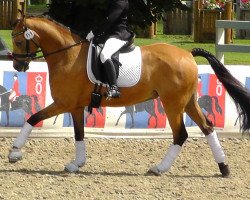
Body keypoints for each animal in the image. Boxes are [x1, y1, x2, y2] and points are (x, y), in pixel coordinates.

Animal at [7, 14, 250, 177]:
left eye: (18, 40)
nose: (18, 66)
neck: (68, 54)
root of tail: (188, 54)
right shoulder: (75, 107)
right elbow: (79, 135)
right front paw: (76, 164)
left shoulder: (63, 103)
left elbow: (32, 118)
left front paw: (14, 153)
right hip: (188, 102)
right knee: (207, 127)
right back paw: (224, 168)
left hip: (172, 103)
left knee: (180, 134)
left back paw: (159, 168)